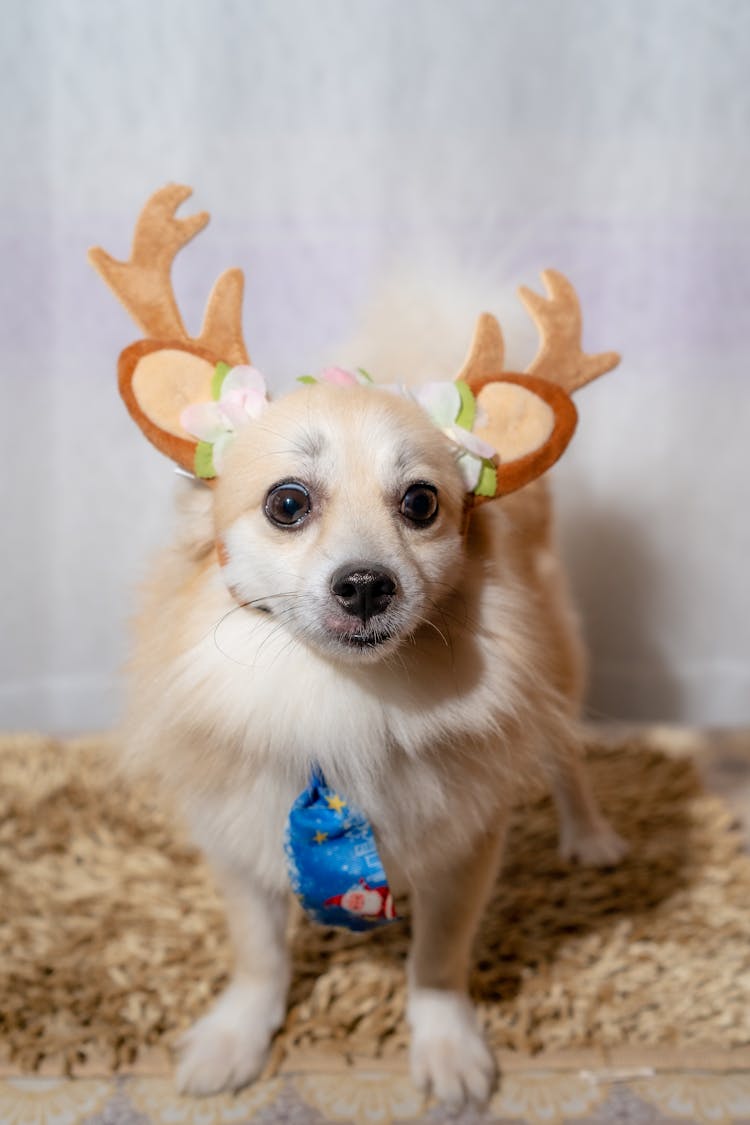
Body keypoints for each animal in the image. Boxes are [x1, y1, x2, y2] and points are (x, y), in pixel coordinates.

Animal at [88, 184, 629, 1107]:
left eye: (421, 503)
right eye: (288, 503)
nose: (368, 584)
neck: (339, 696)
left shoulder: (465, 844)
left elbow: (438, 962)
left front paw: (447, 1049)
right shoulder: (239, 835)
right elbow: (259, 954)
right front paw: (236, 1037)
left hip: (562, 657)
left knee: (563, 751)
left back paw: (587, 834)